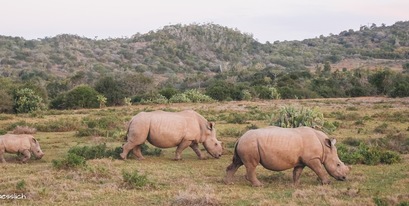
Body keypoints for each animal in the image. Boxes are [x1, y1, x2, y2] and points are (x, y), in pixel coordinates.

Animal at [222, 126, 350, 186]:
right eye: (338, 164)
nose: (344, 178)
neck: (325, 148)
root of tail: (240, 138)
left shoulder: (301, 161)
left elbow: (297, 172)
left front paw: (296, 185)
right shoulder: (312, 159)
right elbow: (320, 170)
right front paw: (327, 183)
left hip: (245, 143)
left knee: (237, 162)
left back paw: (229, 183)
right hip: (250, 144)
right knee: (251, 165)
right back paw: (259, 185)